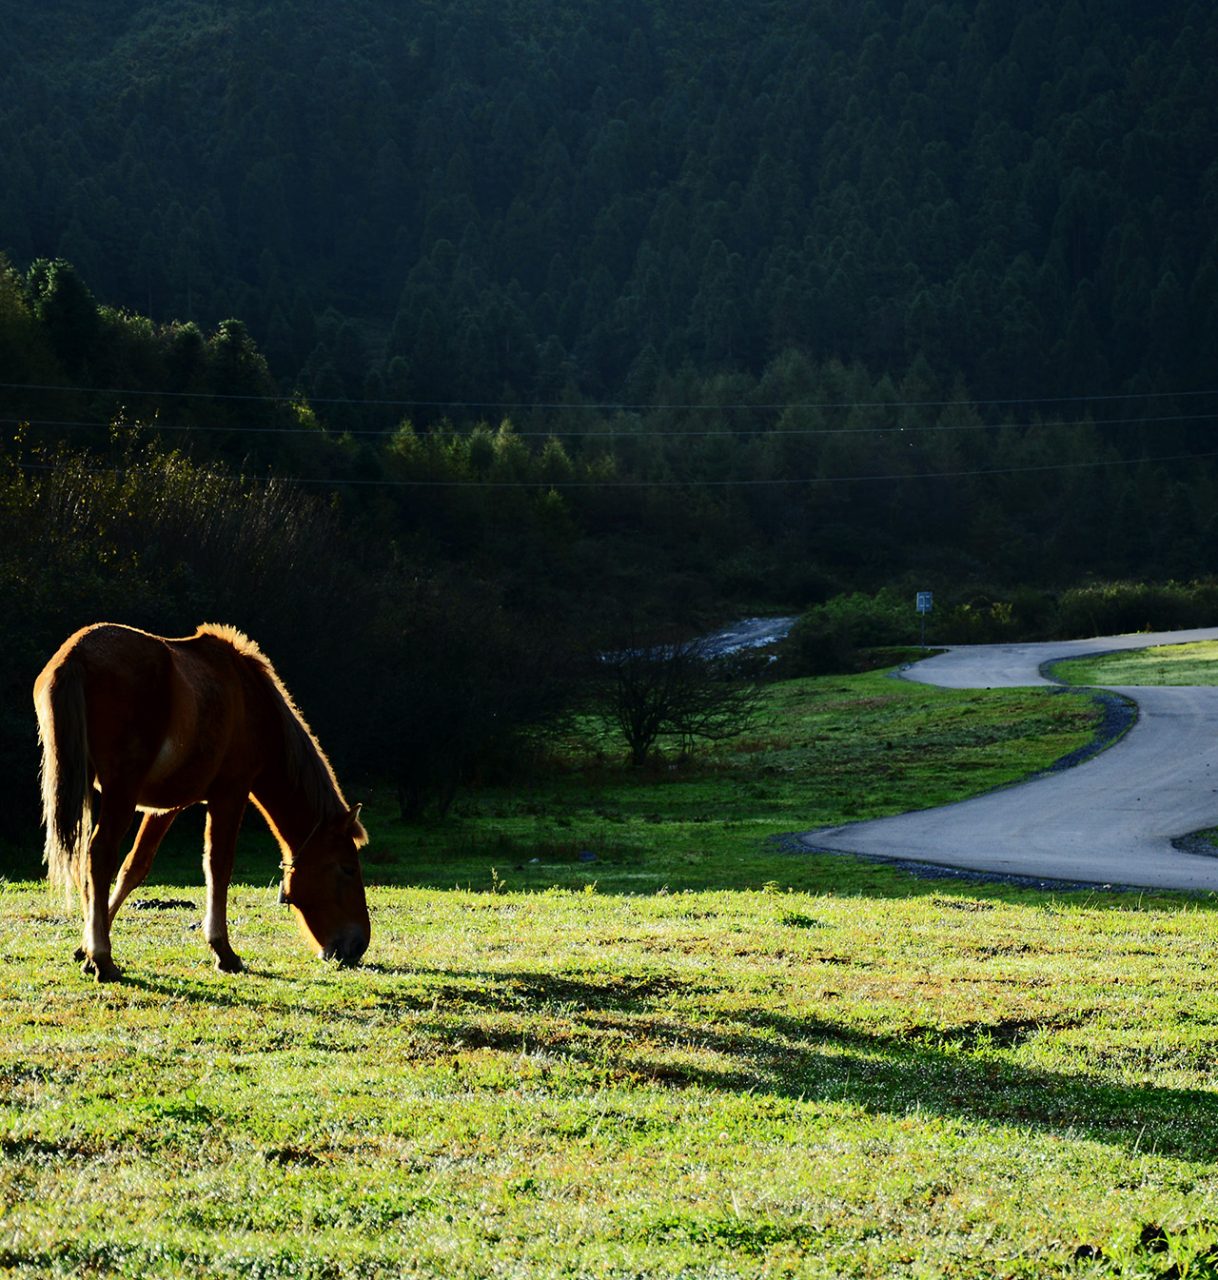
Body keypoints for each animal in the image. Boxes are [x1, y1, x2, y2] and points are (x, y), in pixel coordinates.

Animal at [34, 624, 371, 983]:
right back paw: (104, 959)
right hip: (121, 790)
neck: (251, 701)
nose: (357, 945)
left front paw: (83, 950)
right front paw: (224, 951)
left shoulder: (165, 809)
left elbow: (134, 868)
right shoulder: (230, 793)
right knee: (100, 855)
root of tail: (76, 653)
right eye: (347, 869)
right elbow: (218, 866)